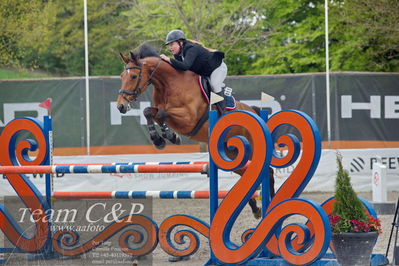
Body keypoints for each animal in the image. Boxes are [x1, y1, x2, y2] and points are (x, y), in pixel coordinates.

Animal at [115, 44, 274, 218]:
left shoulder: (188, 118)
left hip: (251, 150)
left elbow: (162, 113)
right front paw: (161, 139)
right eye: (121, 76)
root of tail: (254, 111)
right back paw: (256, 208)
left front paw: (169, 137)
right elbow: (149, 112)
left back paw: (271, 205)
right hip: (232, 155)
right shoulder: (160, 111)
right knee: (248, 174)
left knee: (269, 172)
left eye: (133, 76)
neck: (168, 84)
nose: (120, 106)